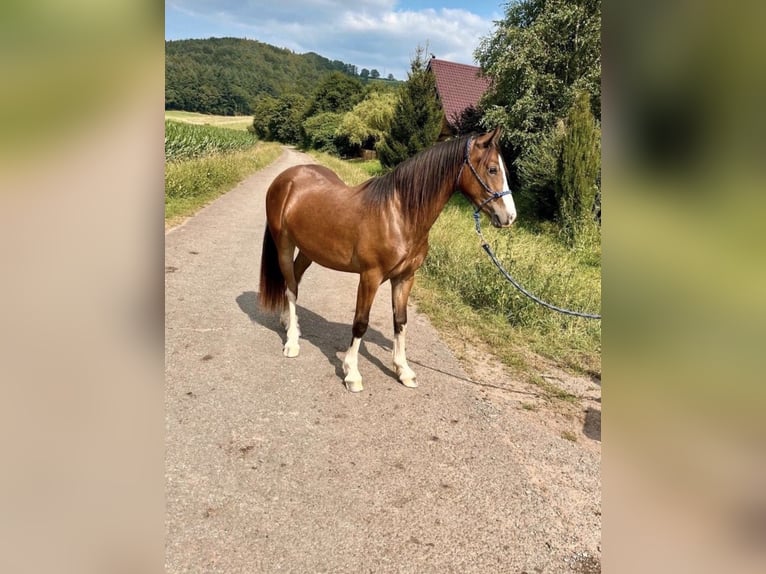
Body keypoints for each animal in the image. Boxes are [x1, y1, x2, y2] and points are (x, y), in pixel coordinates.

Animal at [259, 127, 516, 392]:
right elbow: (360, 322)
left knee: (295, 281)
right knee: (290, 288)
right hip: (284, 246)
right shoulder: (369, 277)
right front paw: (352, 373)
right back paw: (292, 343)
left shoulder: (405, 278)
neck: (399, 215)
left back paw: (289, 324)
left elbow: (400, 321)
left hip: (308, 251)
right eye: (492, 169)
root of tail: (287, 179)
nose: (509, 216)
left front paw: (403, 370)